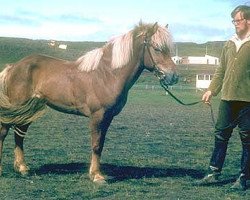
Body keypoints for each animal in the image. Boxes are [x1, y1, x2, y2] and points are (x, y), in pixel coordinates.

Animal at [0, 21, 179, 183]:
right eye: (157, 48)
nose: (174, 77)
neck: (108, 74)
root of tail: (14, 66)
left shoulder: (108, 117)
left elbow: (101, 144)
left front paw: (95, 172)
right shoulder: (97, 116)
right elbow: (96, 144)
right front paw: (97, 176)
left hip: (26, 111)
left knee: (19, 134)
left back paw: (22, 168)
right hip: (17, 108)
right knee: (4, 132)